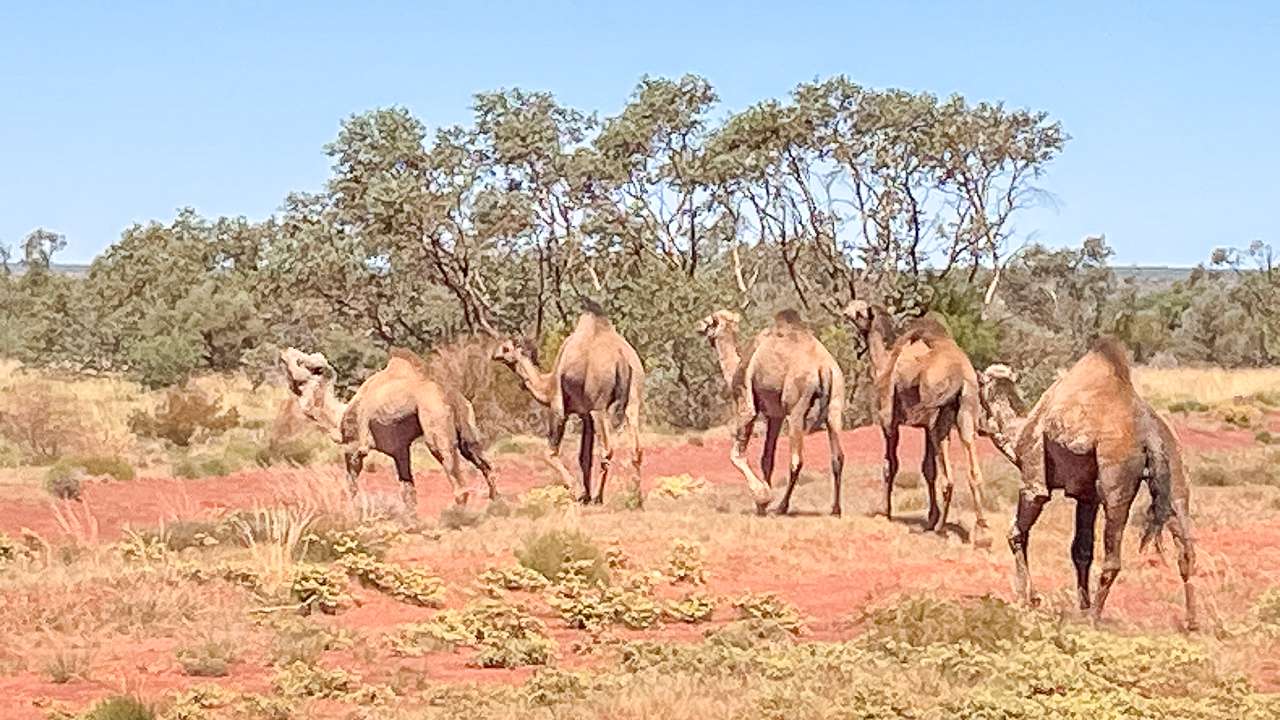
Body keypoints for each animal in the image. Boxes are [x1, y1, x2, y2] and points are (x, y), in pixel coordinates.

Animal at [278, 347, 497, 513]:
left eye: (301, 361)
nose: (285, 351)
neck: (339, 418)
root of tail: (450, 394)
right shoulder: (400, 450)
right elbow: (408, 490)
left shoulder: (354, 446)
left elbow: (351, 485)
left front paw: (351, 513)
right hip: (467, 424)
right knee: (483, 462)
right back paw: (496, 505)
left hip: (434, 417)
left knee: (451, 465)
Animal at [490, 306, 644, 505]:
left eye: (506, 347)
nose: (494, 354)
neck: (546, 386)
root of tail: (621, 358)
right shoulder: (585, 414)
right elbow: (584, 456)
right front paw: (585, 495)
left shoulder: (559, 407)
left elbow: (549, 452)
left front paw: (578, 493)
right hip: (633, 401)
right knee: (636, 449)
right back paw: (637, 498)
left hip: (599, 406)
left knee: (607, 450)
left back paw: (599, 497)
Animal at [696, 309, 846, 516]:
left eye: (709, 320)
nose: (698, 325)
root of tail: (824, 368)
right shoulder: (776, 415)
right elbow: (767, 458)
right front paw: (762, 504)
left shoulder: (746, 402)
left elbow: (736, 455)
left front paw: (763, 498)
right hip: (836, 403)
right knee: (838, 457)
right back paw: (835, 509)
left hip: (796, 406)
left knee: (796, 459)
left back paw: (782, 507)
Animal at [843, 301, 994, 546]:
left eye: (859, 311)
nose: (845, 312)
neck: (884, 362)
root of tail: (960, 375)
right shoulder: (923, 426)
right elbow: (928, 469)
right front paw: (930, 517)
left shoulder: (889, 420)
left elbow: (890, 465)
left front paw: (884, 512)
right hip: (966, 410)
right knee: (973, 468)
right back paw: (982, 531)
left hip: (937, 415)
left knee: (948, 477)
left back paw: (941, 527)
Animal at [1000, 337, 1197, 629]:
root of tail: (1150, 434)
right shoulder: (1087, 496)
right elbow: (1081, 549)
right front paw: (1080, 606)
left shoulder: (1034, 479)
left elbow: (1016, 531)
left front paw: (1028, 600)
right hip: (1175, 475)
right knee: (1187, 548)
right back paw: (1192, 621)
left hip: (1116, 478)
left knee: (1113, 557)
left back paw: (1095, 617)